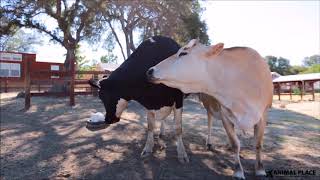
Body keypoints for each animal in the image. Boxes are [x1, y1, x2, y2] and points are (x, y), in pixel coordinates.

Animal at [148, 39, 272, 179]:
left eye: (183, 53)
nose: (150, 70)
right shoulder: (225, 114)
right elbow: (235, 144)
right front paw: (238, 171)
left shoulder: (263, 115)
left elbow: (258, 144)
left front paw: (260, 169)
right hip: (208, 108)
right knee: (209, 123)